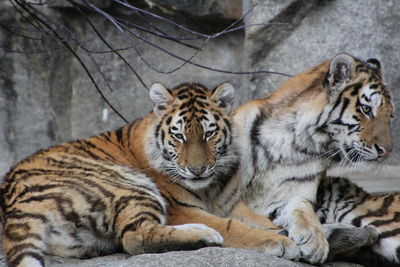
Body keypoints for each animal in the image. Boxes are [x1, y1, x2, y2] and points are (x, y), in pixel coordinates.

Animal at [234, 53, 394, 264]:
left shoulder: (290, 193)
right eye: (366, 110)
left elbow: (302, 208)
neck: (289, 143)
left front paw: (315, 241)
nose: (387, 151)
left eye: (390, 116)